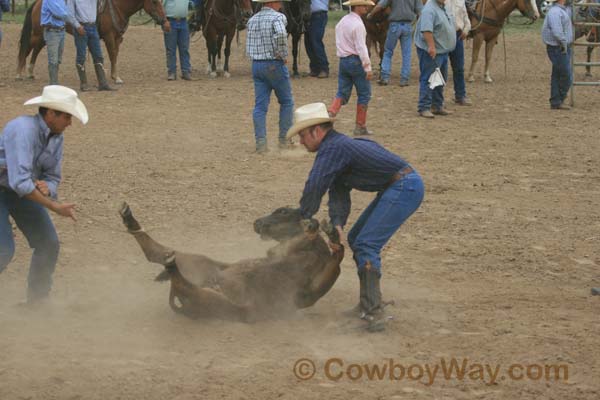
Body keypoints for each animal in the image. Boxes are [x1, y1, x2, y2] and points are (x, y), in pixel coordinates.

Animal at [15, 0, 169, 83]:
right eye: (154, 2)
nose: (165, 22)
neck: (117, 7)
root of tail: (38, 3)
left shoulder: (118, 38)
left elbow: (115, 56)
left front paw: (115, 76)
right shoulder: (109, 37)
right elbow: (112, 55)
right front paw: (115, 77)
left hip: (43, 35)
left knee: (36, 49)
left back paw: (30, 72)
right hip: (37, 34)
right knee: (26, 48)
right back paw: (19, 74)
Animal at [118, 203, 342, 322]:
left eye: (284, 212)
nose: (257, 223)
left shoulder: (309, 291)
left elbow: (337, 260)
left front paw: (325, 231)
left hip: (213, 300)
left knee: (179, 278)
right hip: (198, 263)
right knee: (156, 254)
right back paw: (129, 219)